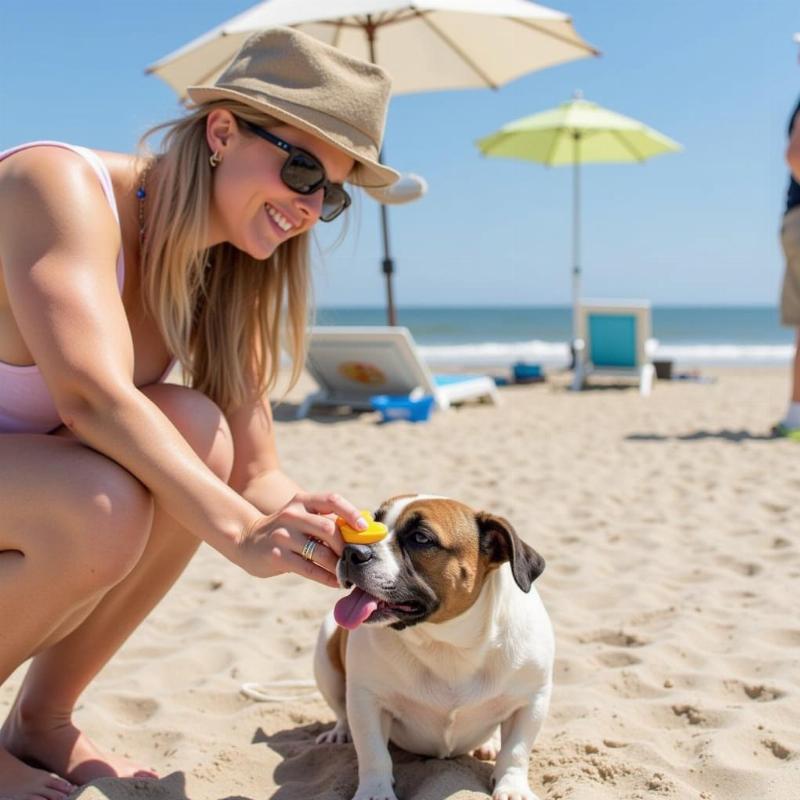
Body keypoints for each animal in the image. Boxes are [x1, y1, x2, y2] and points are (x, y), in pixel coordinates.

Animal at [314, 494, 556, 800]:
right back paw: (340, 733)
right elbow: (373, 752)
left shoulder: (531, 700)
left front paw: (512, 787)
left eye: (420, 538)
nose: (351, 551)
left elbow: (516, 750)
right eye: (372, 522)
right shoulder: (366, 699)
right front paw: (375, 791)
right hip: (325, 655)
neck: (446, 641)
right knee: (341, 711)